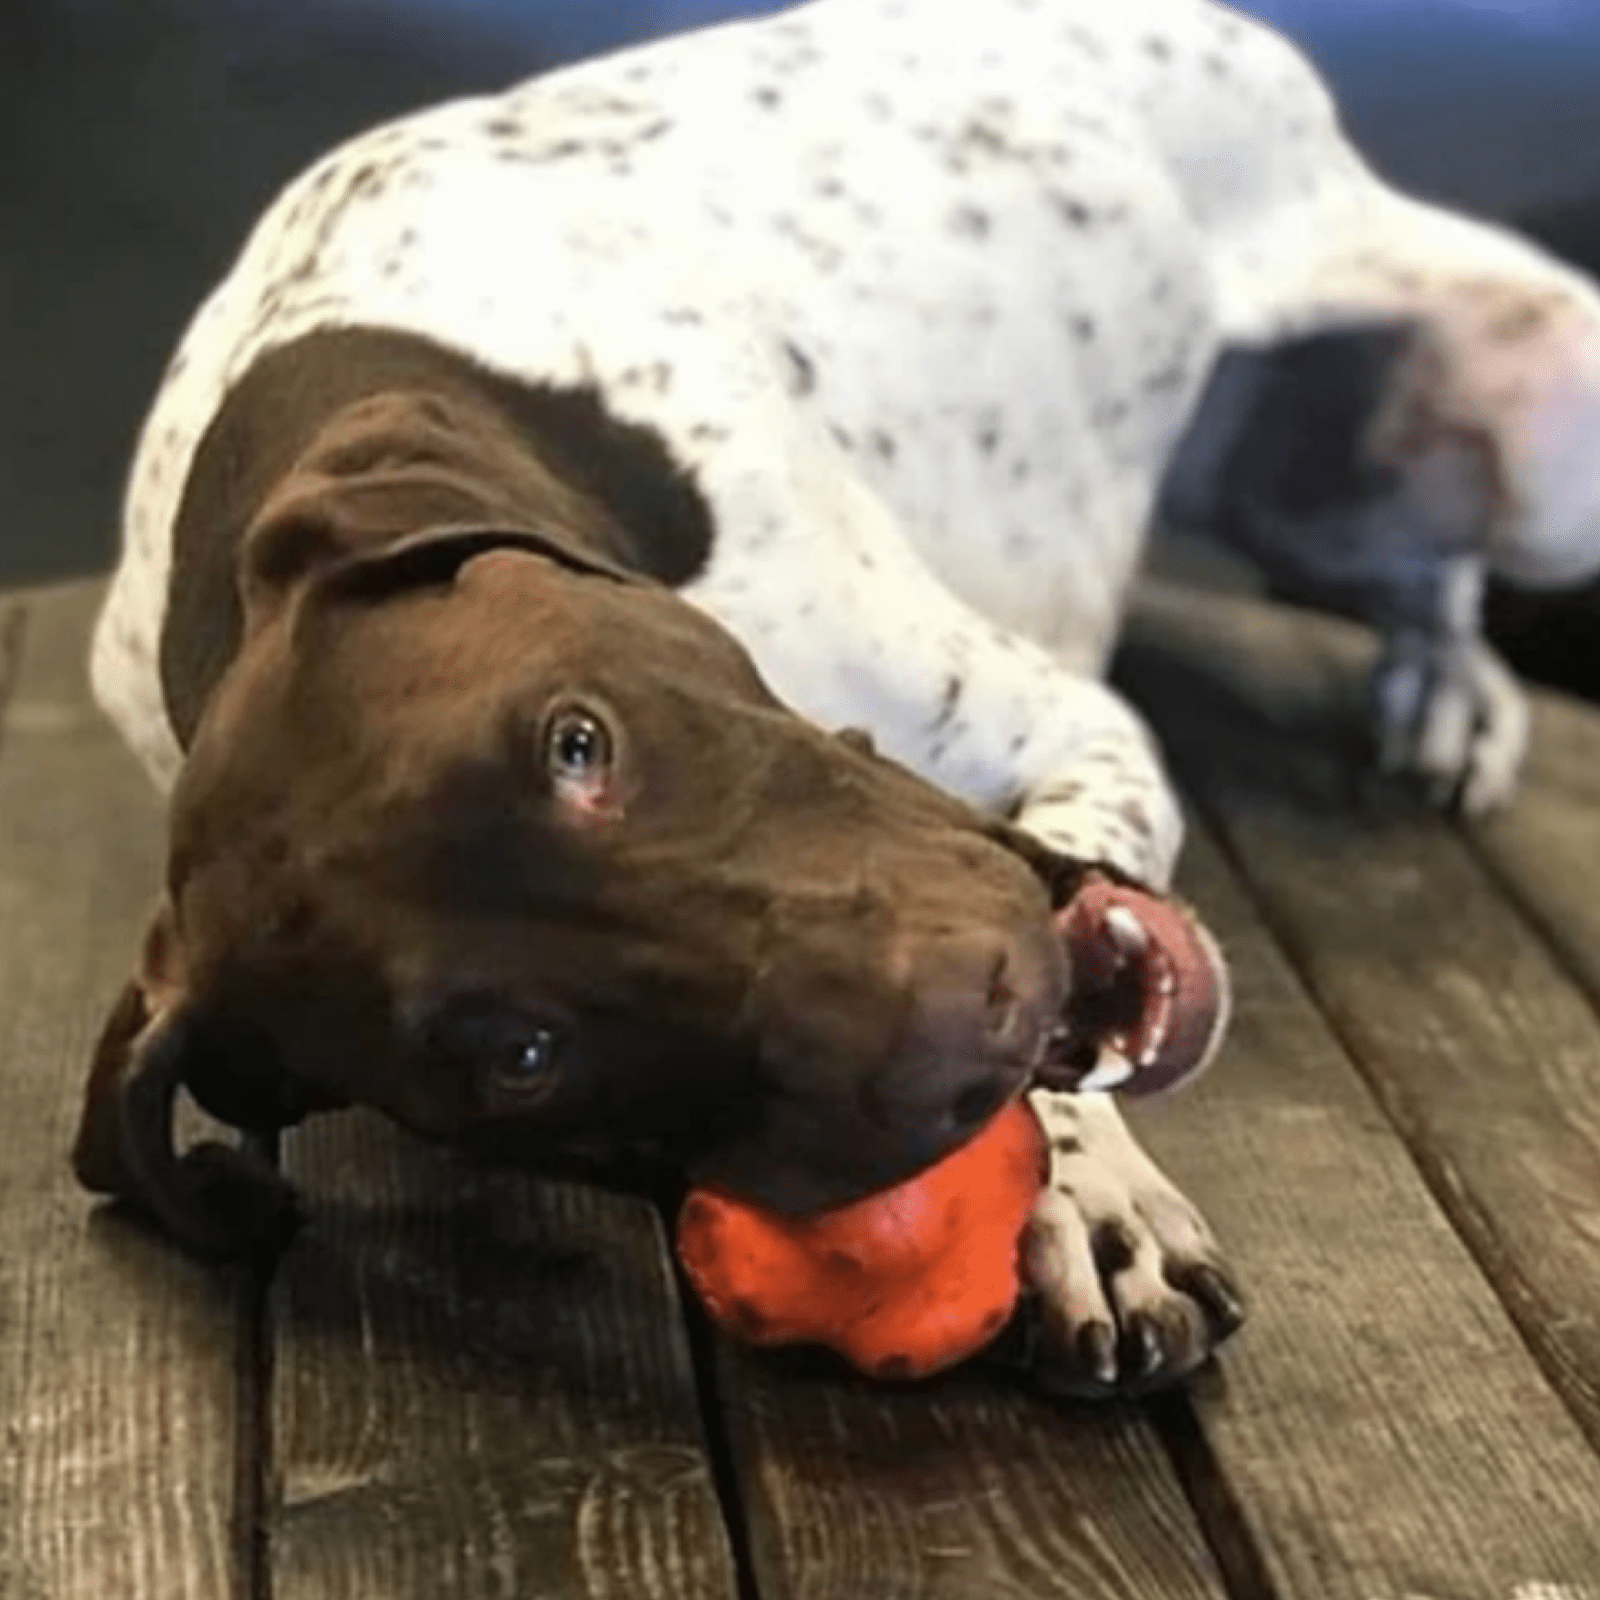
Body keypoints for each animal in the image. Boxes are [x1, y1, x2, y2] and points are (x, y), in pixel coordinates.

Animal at [72, 0, 1600, 1395]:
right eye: (519, 1056)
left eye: (579, 742)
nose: (979, 1002)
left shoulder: (1071, 726)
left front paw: (1090, 1194)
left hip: (1538, 431)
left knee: (1444, 571)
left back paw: (1450, 691)